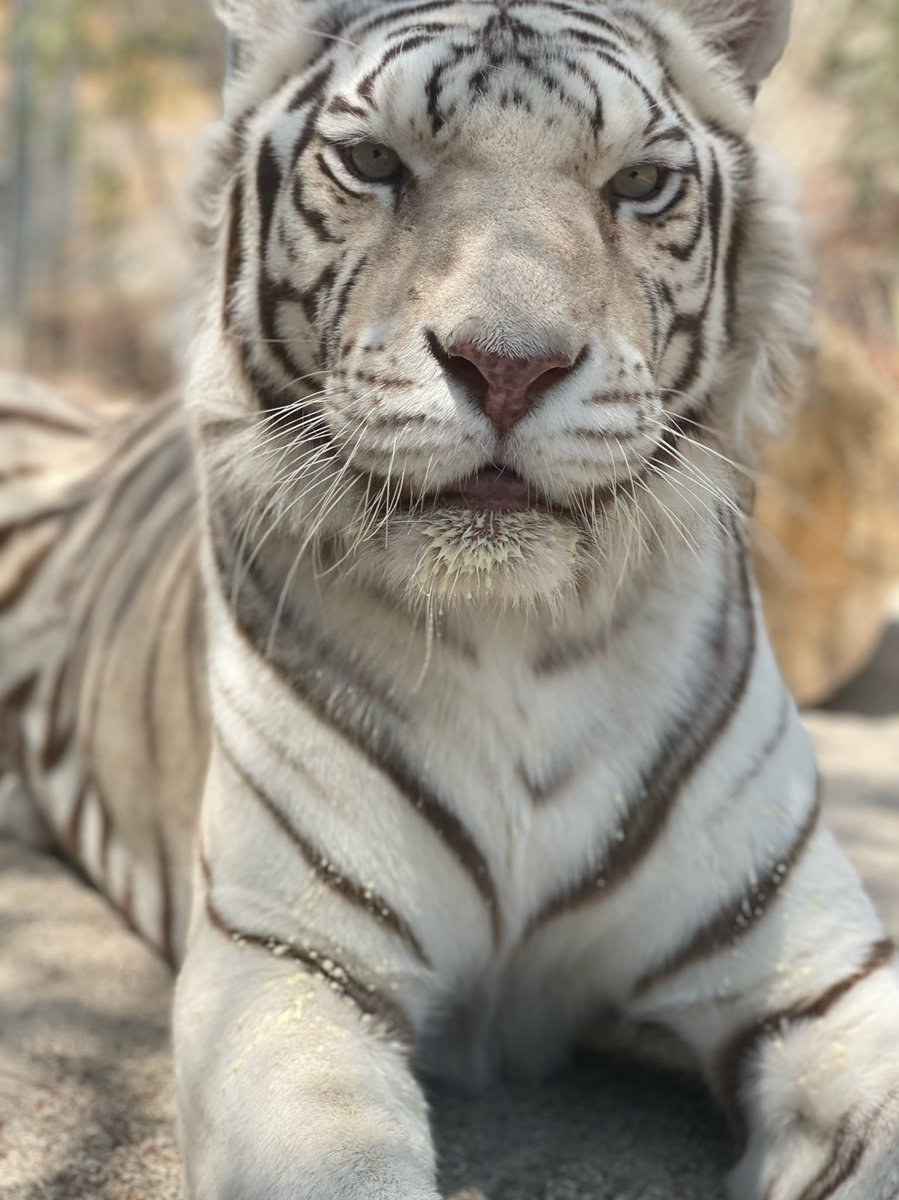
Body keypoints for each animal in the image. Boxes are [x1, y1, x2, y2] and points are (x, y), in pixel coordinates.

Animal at [2, 0, 899, 1198]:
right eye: (375, 163)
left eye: (638, 183)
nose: (507, 367)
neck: (516, 637)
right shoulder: (285, 971)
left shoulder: (818, 975)